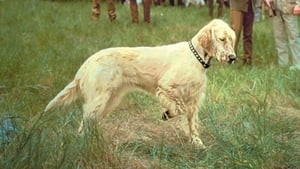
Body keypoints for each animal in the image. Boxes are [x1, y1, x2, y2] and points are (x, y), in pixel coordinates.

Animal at [44, 19, 237, 148]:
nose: (233, 58)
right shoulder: (166, 87)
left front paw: (197, 143)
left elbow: (192, 123)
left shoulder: (194, 99)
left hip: (109, 101)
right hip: (99, 100)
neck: (196, 56)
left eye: (231, 39)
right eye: (221, 39)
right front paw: (168, 114)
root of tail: (87, 63)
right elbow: (179, 109)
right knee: (84, 124)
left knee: (90, 122)